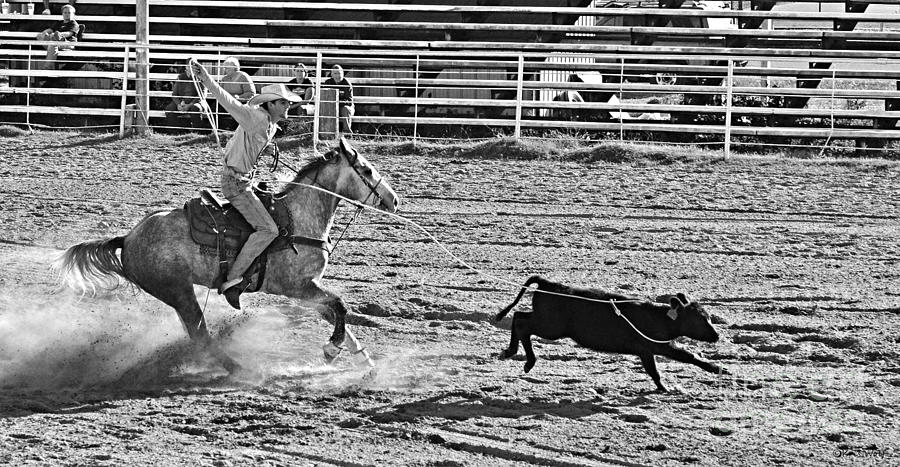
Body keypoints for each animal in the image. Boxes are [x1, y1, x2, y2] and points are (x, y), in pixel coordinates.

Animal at [52, 139, 398, 372]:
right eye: (366, 169)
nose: (394, 200)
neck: (297, 218)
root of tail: (128, 238)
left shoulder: (308, 291)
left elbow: (341, 316)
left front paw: (364, 363)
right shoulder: (297, 287)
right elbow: (341, 305)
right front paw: (330, 350)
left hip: (178, 295)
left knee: (196, 335)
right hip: (179, 292)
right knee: (201, 336)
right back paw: (239, 369)